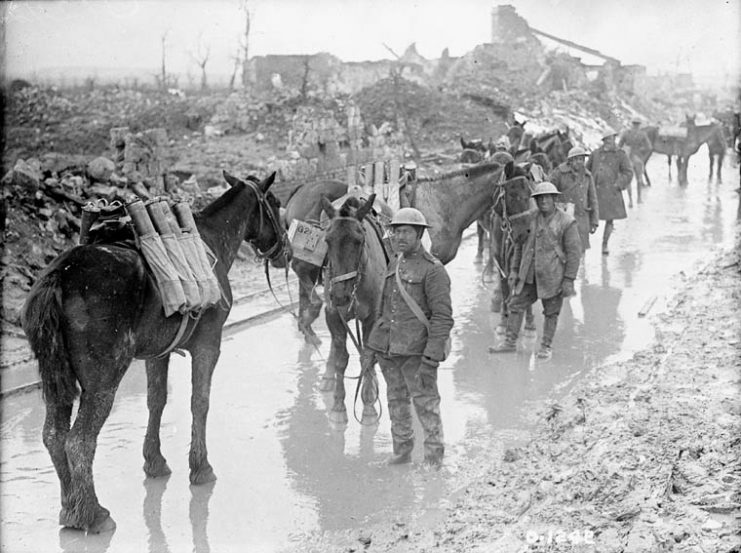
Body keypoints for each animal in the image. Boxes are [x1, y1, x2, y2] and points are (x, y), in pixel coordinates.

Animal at [21, 170, 288, 532]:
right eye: (276, 203)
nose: (286, 250)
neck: (213, 239)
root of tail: (57, 278)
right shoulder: (209, 343)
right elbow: (200, 402)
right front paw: (200, 467)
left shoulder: (158, 354)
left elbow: (156, 401)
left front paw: (155, 461)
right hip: (104, 379)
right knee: (78, 441)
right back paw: (93, 513)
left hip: (55, 379)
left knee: (53, 435)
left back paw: (70, 507)